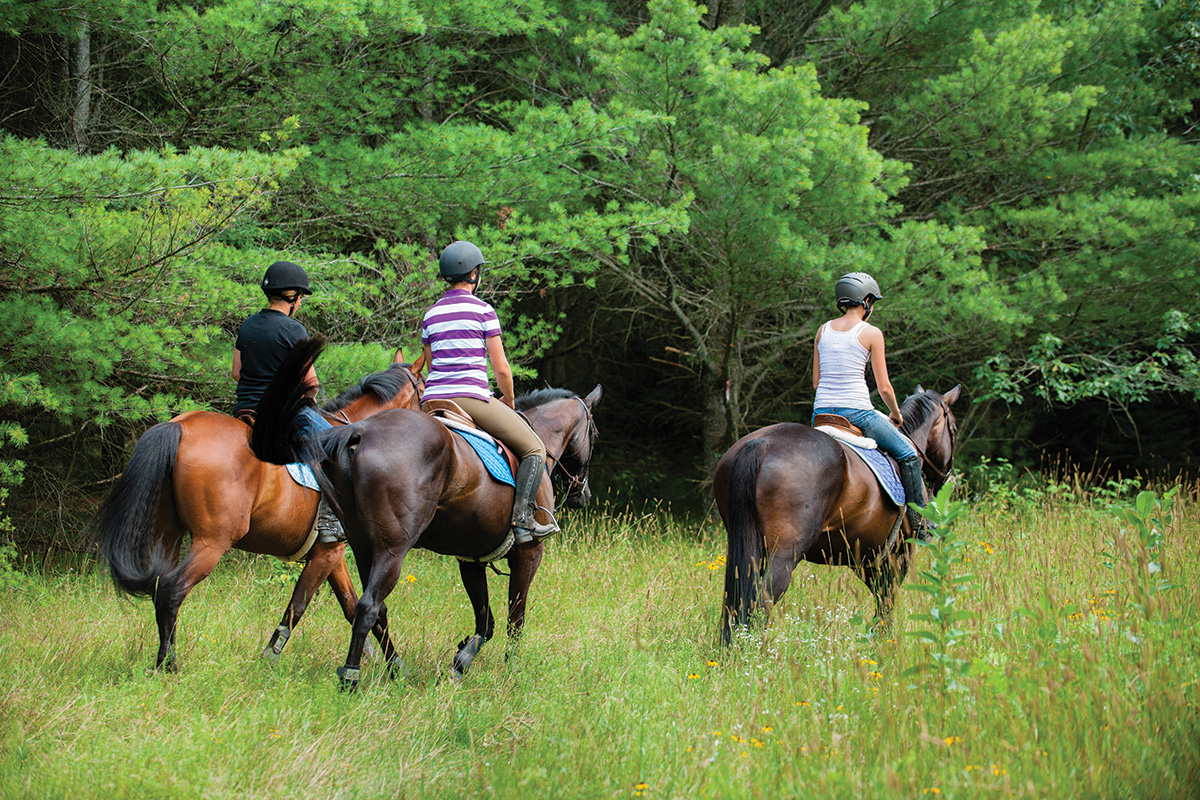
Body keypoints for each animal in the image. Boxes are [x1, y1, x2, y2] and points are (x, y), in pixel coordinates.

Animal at [93, 350, 424, 671]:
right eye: (423, 392)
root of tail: (179, 425)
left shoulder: (330, 553)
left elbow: (354, 606)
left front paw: (388, 662)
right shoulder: (329, 553)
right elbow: (299, 607)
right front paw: (270, 658)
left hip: (169, 534)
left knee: (161, 587)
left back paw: (162, 660)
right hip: (212, 541)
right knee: (173, 590)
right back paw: (169, 665)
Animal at [253, 338, 604, 690]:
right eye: (595, 435)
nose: (583, 493)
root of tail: (358, 433)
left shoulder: (470, 558)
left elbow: (486, 621)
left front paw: (460, 663)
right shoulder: (529, 553)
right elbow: (514, 619)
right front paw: (511, 674)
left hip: (363, 547)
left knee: (375, 609)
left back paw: (394, 669)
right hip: (392, 548)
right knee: (368, 607)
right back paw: (351, 678)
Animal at [715, 383, 960, 642]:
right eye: (953, 428)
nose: (946, 476)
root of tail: (762, 443)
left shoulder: (864, 555)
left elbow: (881, 598)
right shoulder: (899, 551)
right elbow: (888, 598)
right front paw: (885, 642)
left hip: (749, 549)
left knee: (737, 602)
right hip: (784, 553)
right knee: (761, 602)